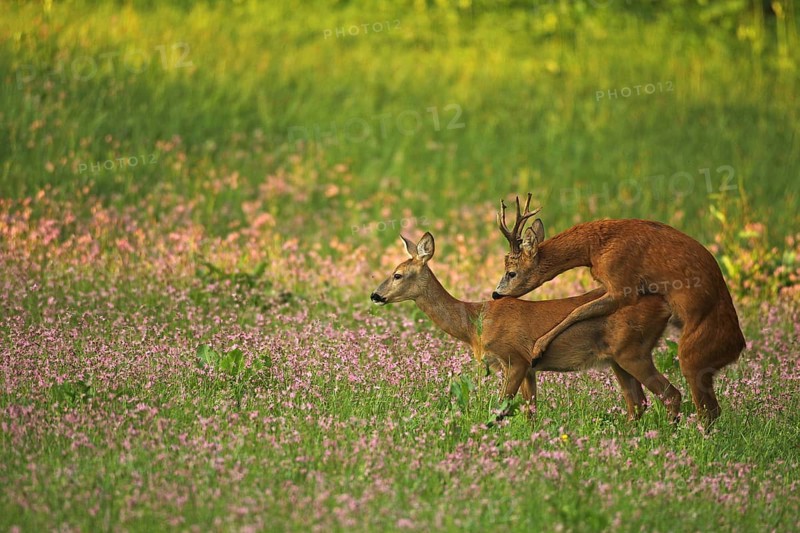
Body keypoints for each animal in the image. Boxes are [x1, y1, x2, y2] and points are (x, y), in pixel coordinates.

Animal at [370, 232, 683, 422]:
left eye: (397, 274)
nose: (375, 295)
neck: (474, 323)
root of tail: (664, 305)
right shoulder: (530, 368)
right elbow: (530, 412)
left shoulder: (515, 358)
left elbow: (500, 408)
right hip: (618, 359)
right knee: (637, 403)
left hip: (633, 351)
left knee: (671, 394)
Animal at [492, 194, 745, 424]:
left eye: (511, 273)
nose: (495, 294)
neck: (594, 247)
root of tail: (738, 346)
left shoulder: (621, 282)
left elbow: (578, 310)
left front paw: (538, 347)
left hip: (694, 355)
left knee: (701, 406)